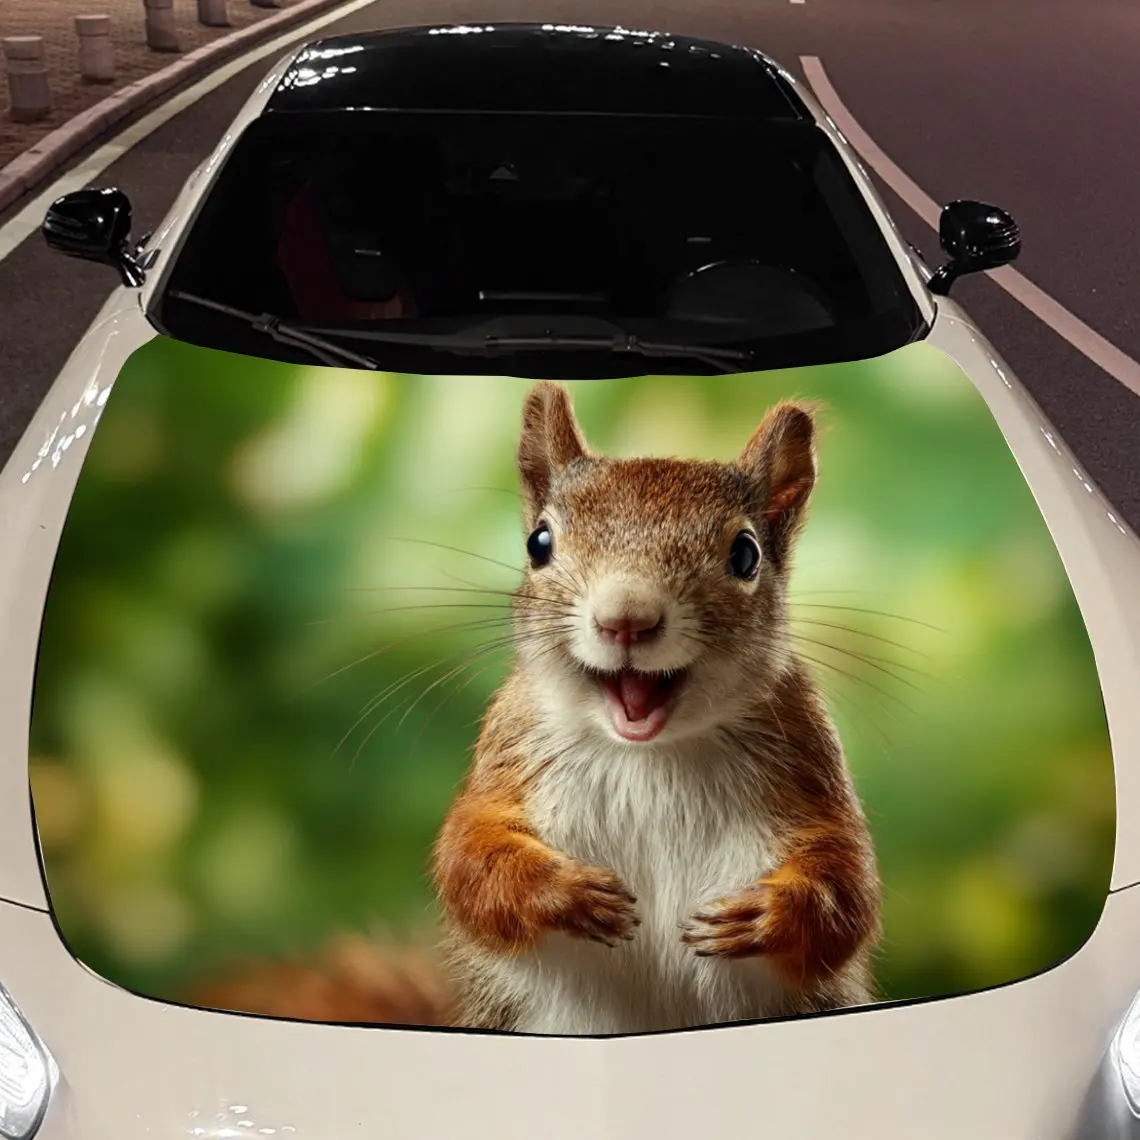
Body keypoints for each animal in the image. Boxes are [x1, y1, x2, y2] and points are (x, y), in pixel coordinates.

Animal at [187, 381, 882, 1036]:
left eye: (745, 554)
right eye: (539, 542)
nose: (626, 617)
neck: (647, 752)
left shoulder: (808, 763)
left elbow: (848, 888)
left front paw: (764, 914)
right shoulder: (510, 755)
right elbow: (468, 859)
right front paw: (563, 893)